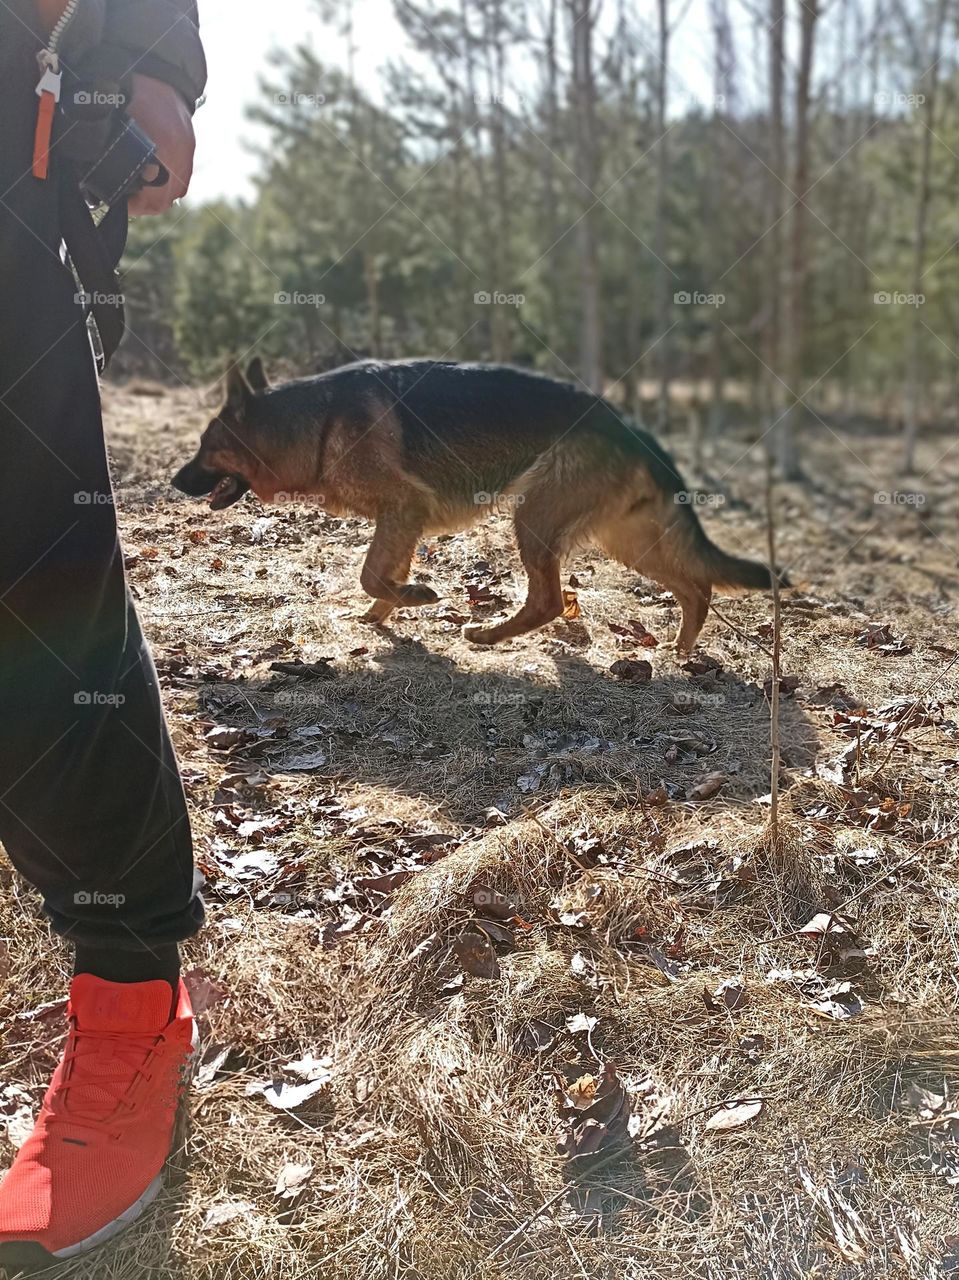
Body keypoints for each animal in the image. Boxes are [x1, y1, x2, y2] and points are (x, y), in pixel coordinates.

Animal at [171, 358, 783, 650]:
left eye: (204, 446)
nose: (174, 483)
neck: (313, 424)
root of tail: (627, 423)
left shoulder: (403, 508)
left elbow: (373, 573)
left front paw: (414, 597)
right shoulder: (404, 521)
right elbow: (383, 576)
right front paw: (381, 615)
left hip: (534, 520)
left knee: (549, 601)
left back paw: (488, 636)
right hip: (626, 540)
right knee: (697, 586)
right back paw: (681, 648)